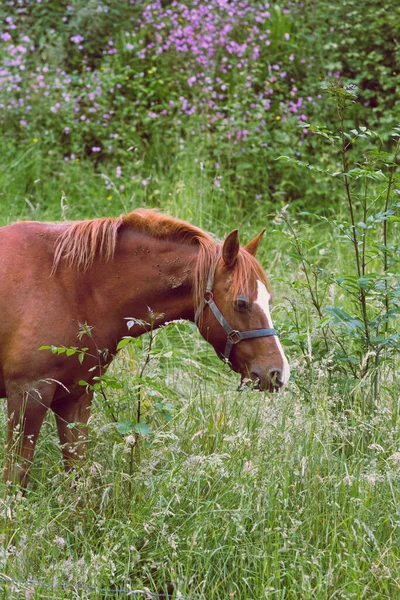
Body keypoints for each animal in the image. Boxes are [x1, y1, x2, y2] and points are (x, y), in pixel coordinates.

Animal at [0, 209, 288, 486]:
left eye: (268, 300)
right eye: (241, 303)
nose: (279, 372)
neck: (70, 285)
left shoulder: (75, 397)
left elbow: (78, 479)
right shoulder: (28, 395)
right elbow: (16, 478)